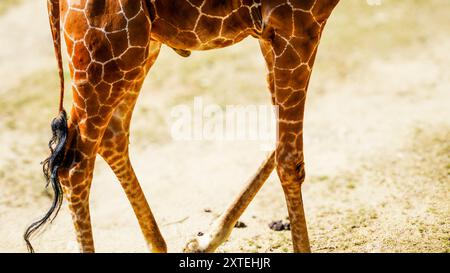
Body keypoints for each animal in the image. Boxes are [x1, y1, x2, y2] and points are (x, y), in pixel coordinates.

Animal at [24, 0, 340, 252]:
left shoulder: (273, 32)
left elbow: (275, 144)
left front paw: (203, 241)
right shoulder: (297, 23)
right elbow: (289, 161)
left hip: (138, 47)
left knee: (112, 135)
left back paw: (158, 245)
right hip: (105, 51)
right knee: (74, 164)